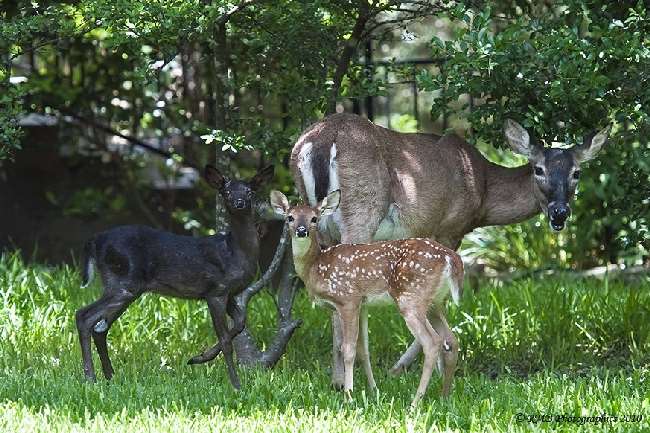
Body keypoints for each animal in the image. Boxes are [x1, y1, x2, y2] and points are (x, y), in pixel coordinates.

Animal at [268, 189, 460, 404]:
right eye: (290, 217)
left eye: (314, 218)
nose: (302, 231)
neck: (315, 267)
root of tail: (451, 258)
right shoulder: (363, 304)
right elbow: (363, 350)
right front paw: (373, 390)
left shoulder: (348, 299)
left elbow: (348, 349)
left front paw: (349, 395)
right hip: (435, 301)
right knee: (451, 340)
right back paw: (445, 397)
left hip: (411, 298)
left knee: (433, 342)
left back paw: (415, 402)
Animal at [288, 113, 608, 386]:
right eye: (539, 169)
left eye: (577, 172)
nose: (559, 213)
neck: (483, 190)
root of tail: (322, 140)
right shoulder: (449, 228)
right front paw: (416, 367)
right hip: (361, 211)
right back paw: (349, 382)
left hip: (320, 221)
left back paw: (337, 380)